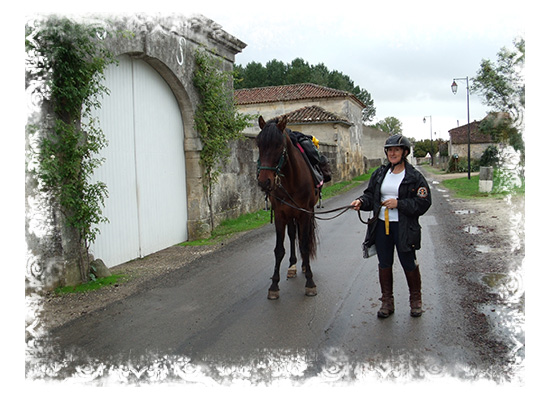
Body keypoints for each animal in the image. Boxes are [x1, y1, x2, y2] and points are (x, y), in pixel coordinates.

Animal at [258, 114, 322, 298]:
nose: (264, 181)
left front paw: (310, 282)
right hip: (291, 214)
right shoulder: (280, 214)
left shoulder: (305, 213)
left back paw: (304, 266)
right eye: (259, 144)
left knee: (303, 237)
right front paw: (274, 285)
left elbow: (305, 246)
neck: (292, 180)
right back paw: (293, 266)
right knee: (294, 235)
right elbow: (279, 249)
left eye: (279, 145)